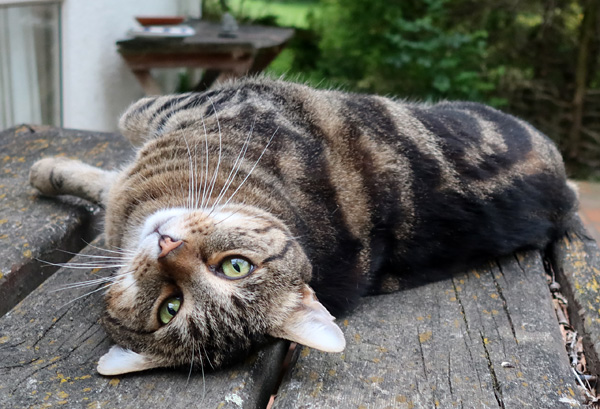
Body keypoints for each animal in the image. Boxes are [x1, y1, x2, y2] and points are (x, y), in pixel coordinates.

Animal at [28, 78, 576, 374]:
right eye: (237, 266)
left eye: (170, 308)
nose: (167, 246)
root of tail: (567, 195)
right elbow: (112, 179)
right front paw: (57, 175)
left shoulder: (194, 105)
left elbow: (127, 125)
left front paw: (47, 170)